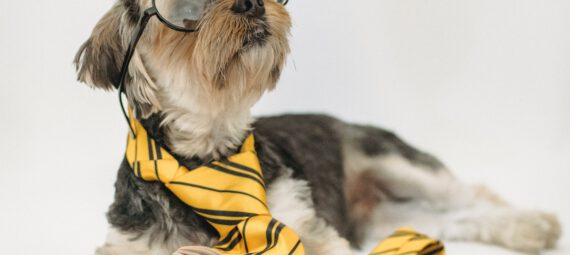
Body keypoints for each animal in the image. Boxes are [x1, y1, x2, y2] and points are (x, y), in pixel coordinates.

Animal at [74, 0, 560, 254]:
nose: (251, 2)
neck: (208, 159)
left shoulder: (305, 225)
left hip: (392, 160)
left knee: (472, 195)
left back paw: (532, 223)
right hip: (380, 219)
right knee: (447, 220)